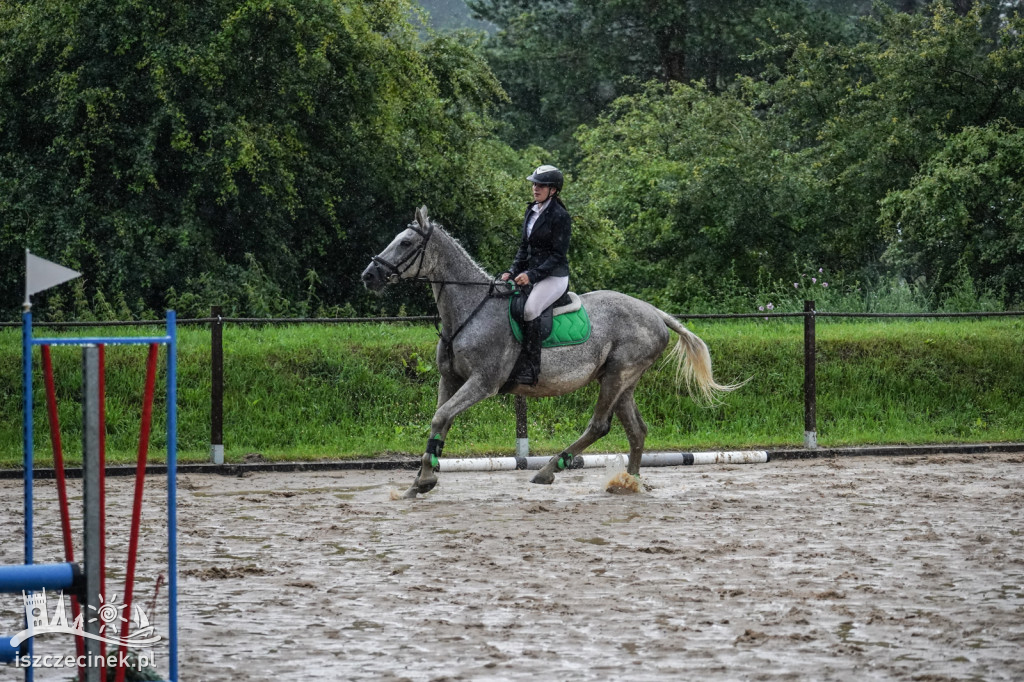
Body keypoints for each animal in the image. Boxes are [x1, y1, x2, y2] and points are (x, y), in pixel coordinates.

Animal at [360, 204, 737, 497]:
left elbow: (441, 417)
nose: (369, 275)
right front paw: (421, 479)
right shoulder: (450, 379)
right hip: (622, 380)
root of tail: (655, 313)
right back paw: (629, 483)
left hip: (617, 375)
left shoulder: (483, 383)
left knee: (600, 425)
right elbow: (440, 421)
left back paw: (549, 470)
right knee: (636, 430)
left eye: (406, 242)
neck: (471, 310)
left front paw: (424, 479)